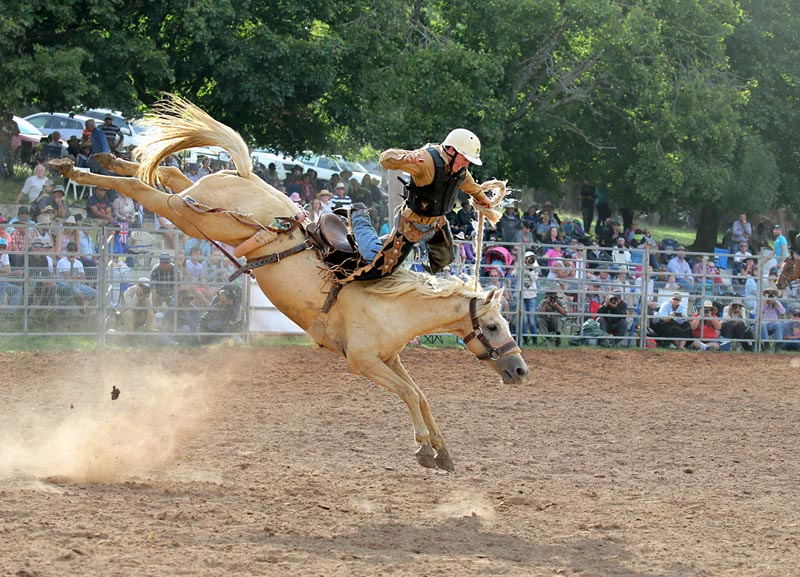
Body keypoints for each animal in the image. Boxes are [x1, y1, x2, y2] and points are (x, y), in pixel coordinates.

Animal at [48, 95, 524, 472]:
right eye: (494, 325)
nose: (520, 370)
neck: (393, 305)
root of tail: (243, 179)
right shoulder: (363, 362)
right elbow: (409, 393)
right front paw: (426, 449)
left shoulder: (389, 358)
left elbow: (420, 394)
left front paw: (442, 451)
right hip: (193, 216)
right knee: (146, 191)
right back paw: (77, 167)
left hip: (202, 207)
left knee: (168, 177)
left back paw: (108, 160)